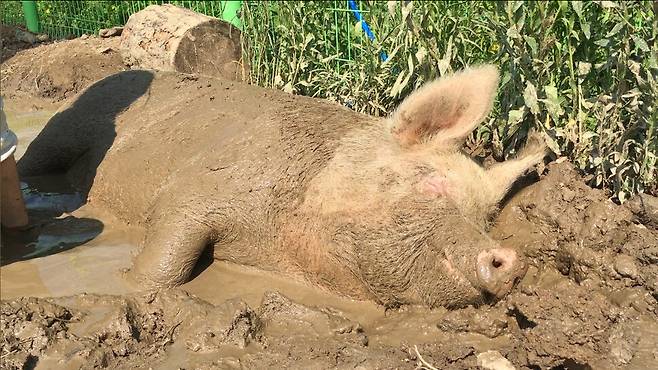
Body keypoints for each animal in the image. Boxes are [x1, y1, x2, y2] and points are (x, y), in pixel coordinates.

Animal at [18, 65, 544, 308]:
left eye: (484, 217)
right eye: (430, 184)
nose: (513, 259)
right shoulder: (196, 191)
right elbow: (166, 264)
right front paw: (129, 286)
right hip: (62, 129)